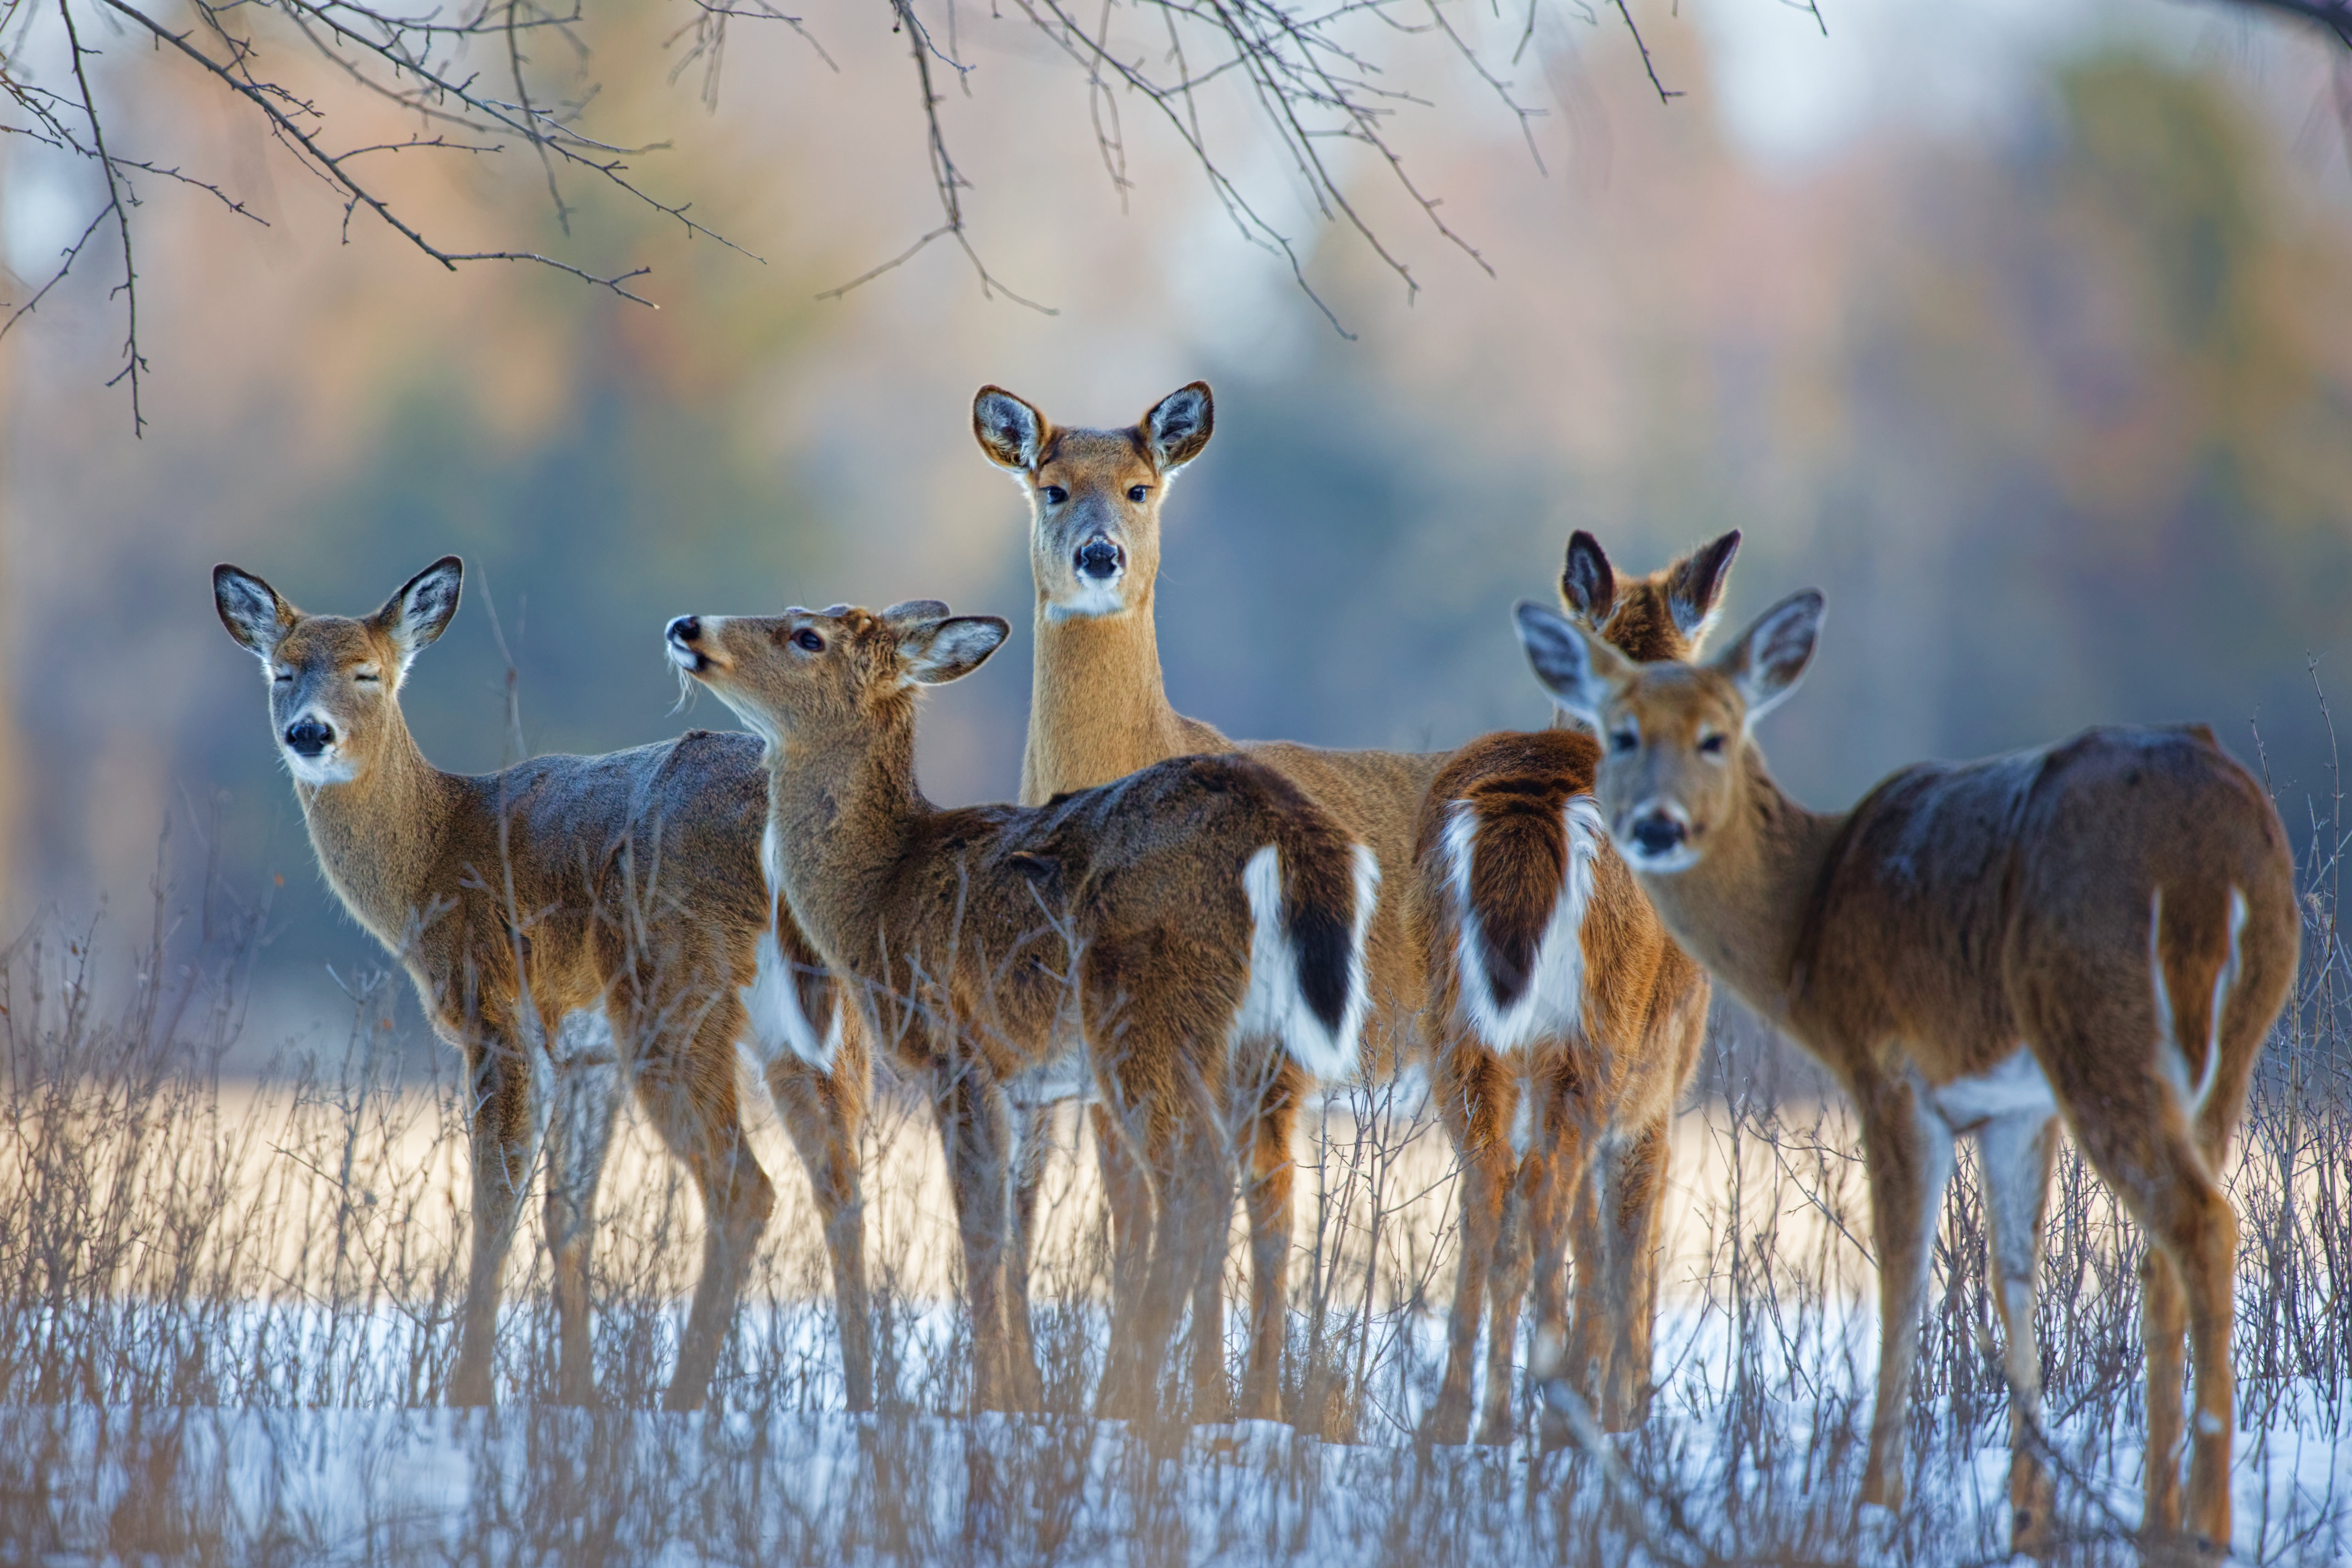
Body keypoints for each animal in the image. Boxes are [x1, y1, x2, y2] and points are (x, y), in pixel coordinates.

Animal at [213, 557, 875, 1414]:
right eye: (283, 671)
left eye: (369, 673)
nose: (309, 733)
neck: (433, 857)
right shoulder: (587, 1052)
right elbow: (567, 1213)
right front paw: (576, 1396)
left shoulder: (499, 1014)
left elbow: (497, 1204)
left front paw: (468, 1393)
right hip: (818, 1021)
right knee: (842, 1182)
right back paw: (867, 1400)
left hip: (673, 988)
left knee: (746, 1190)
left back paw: (682, 1401)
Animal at [665, 599, 1377, 1417]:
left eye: (807, 636)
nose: (687, 626)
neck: (879, 891)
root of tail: (1282, 827)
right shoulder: (1021, 1079)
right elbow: (1012, 1234)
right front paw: (1019, 1396)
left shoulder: (956, 1046)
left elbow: (978, 1231)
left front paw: (986, 1399)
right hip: (1266, 1045)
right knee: (1273, 1189)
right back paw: (1246, 1409)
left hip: (1147, 1009)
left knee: (1197, 1178)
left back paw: (1132, 1397)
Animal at [973, 381, 1450, 1422]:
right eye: (1052, 487)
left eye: (1141, 487)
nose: (1099, 554)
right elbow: (1123, 1213)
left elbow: (1214, 1210)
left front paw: (1196, 1398)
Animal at [1412, 528, 1738, 1449]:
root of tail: (1531, 805)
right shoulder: (1659, 1086)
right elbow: (1631, 1241)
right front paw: (1628, 1401)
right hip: (1598, 1028)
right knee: (1547, 1185)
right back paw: (1544, 1405)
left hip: (1458, 1028)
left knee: (1492, 1182)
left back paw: (1463, 1413)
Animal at [1514, 585, 2297, 1559]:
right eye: (1621, 732)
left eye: (1715, 735)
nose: (1658, 824)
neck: (1807, 918)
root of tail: (2211, 858)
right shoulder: (2012, 1104)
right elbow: (2012, 1277)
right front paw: (2029, 1514)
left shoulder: (1887, 1065)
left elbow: (1902, 1274)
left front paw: (1878, 1499)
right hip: (2231, 1041)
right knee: (2172, 1247)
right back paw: (2161, 1515)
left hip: (2098, 1017)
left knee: (2201, 1222)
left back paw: (2209, 1521)